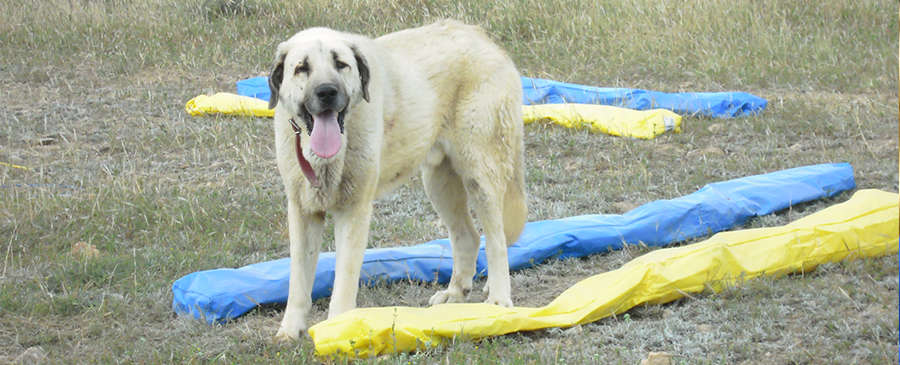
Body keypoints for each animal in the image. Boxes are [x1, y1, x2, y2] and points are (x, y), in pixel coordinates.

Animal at [268, 19, 528, 338]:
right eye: (301, 68)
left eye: (340, 64)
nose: (327, 92)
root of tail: (484, 37)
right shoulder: (303, 211)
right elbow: (298, 280)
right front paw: (290, 330)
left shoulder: (354, 210)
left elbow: (344, 278)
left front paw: (338, 327)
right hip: (439, 183)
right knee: (468, 236)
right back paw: (454, 294)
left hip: (480, 173)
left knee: (496, 240)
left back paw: (499, 300)